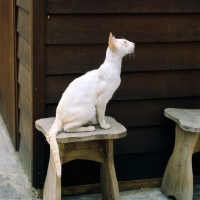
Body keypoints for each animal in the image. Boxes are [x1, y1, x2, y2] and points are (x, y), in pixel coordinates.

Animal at [46, 32, 135, 177]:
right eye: (125, 42)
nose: (134, 44)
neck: (114, 68)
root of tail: (57, 117)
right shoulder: (102, 100)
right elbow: (102, 114)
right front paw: (103, 126)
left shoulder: (102, 101)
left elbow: (100, 115)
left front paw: (99, 122)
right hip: (89, 108)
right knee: (67, 128)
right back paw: (89, 128)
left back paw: (89, 123)